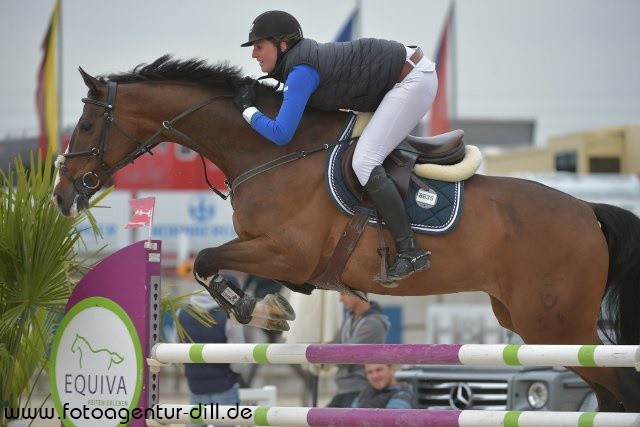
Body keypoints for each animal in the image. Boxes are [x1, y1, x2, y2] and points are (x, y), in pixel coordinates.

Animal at [51, 56, 640, 412]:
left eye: (86, 125)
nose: (61, 194)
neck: (273, 150)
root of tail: (587, 211)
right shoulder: (286, 261)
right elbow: (216, 265)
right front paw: (271, 309)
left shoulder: (285, 253)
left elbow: (205, 259)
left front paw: (260, 312)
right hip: (528, 319)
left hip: (555, 323)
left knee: (616, 384)